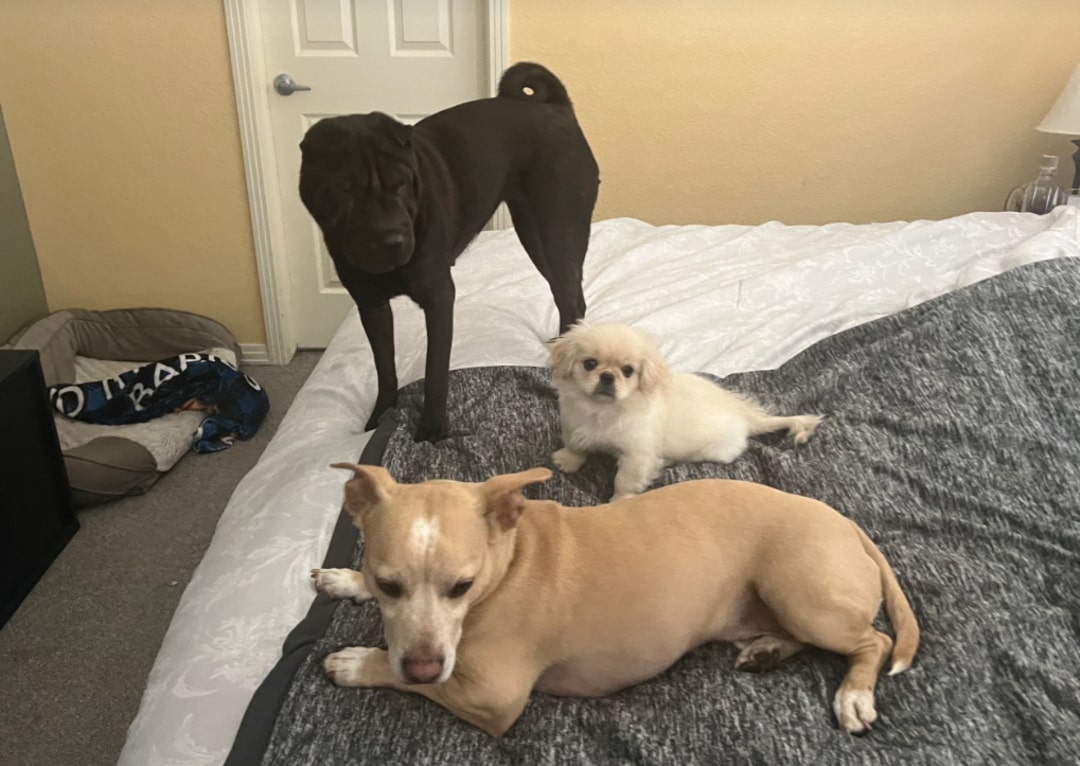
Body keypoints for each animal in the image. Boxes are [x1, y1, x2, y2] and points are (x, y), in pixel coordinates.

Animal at [298, 62, 600, 442]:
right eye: (345, 188)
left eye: (400, 183)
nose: (393, 240)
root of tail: (558, 108)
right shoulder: (371, 305)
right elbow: (385, 368)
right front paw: (379, 418)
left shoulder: (439, 297)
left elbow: (435, 372)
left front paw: (431, 432)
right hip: (535, 237)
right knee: (571, 297)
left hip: (559, 231)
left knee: (570, 298)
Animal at [313, 462, 920, 738]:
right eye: (388, 584)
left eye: (462, 586)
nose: (422, 662)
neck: (509, 559)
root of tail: (845, 522)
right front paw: (345, 579)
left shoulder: (491, 698)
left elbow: (409, 680)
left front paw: (357, 662)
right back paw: (767, 650)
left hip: (802, 593)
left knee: (873, 640)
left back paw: (854, 694)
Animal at [544, 321, 820, 501]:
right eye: (590, 364)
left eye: (628, 371)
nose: (607, 376)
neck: (601, 410)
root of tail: (746, 416)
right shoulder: (572, 425)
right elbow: (575, 446)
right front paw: (567, 461)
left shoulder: (637, 456)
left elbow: (624, 481)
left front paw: (619, 502)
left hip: (716, 452)